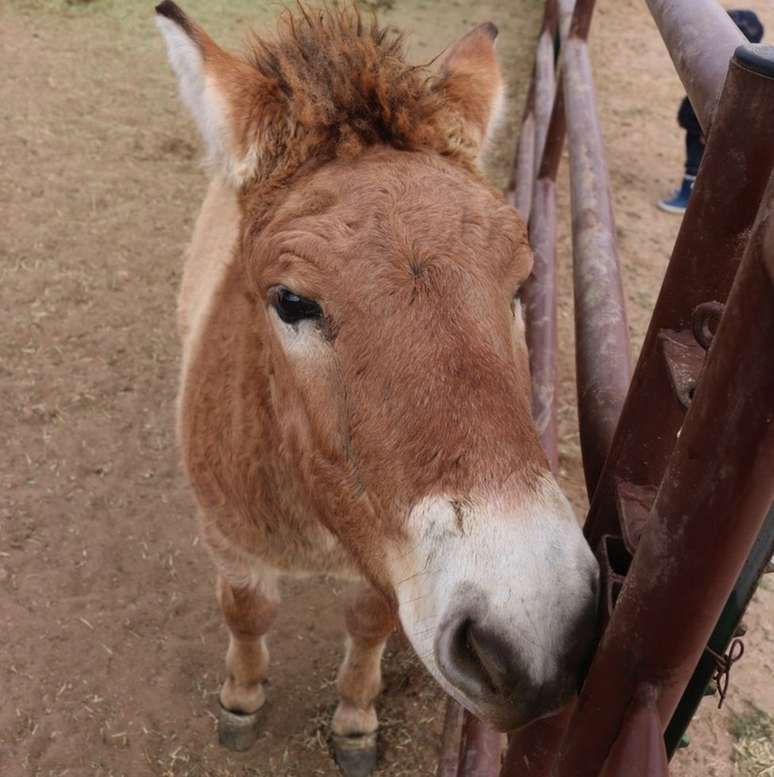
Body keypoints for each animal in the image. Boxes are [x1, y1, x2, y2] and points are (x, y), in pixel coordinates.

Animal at [153, 3, 600, 772]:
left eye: (523, 283)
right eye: (290, 301)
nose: (538, 633)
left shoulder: (388, 567)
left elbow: (368, 623)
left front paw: (356, 717)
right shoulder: (230, 542)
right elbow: (247, 612)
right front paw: (242, 697)